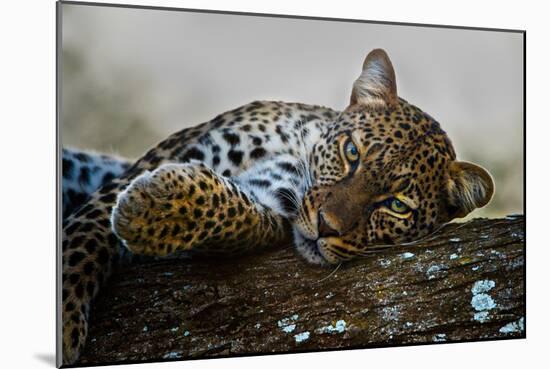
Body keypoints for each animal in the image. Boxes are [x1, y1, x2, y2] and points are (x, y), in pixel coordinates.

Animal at [61, 49, 496, 362]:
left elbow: (235, 214)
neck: (295, 152)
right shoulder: (155, 161)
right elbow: (84, 238)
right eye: (351, 152)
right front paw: (64, 323)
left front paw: (154, 209)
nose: (326, 226)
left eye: (397, 205)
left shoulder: (268, 206)